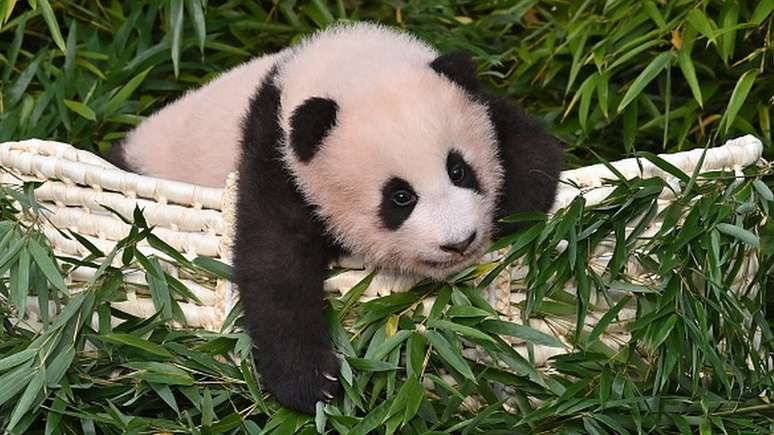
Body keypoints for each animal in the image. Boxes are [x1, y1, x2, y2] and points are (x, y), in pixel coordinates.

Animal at [112, 23, 562, 414]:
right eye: (400, 197)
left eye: (459, 170)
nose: (458, 242)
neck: (342, 65)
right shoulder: (276, 158)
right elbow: (273, 263)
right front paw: (309, 383)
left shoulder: (485, 105)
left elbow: (534, 149)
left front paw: (512, 214)